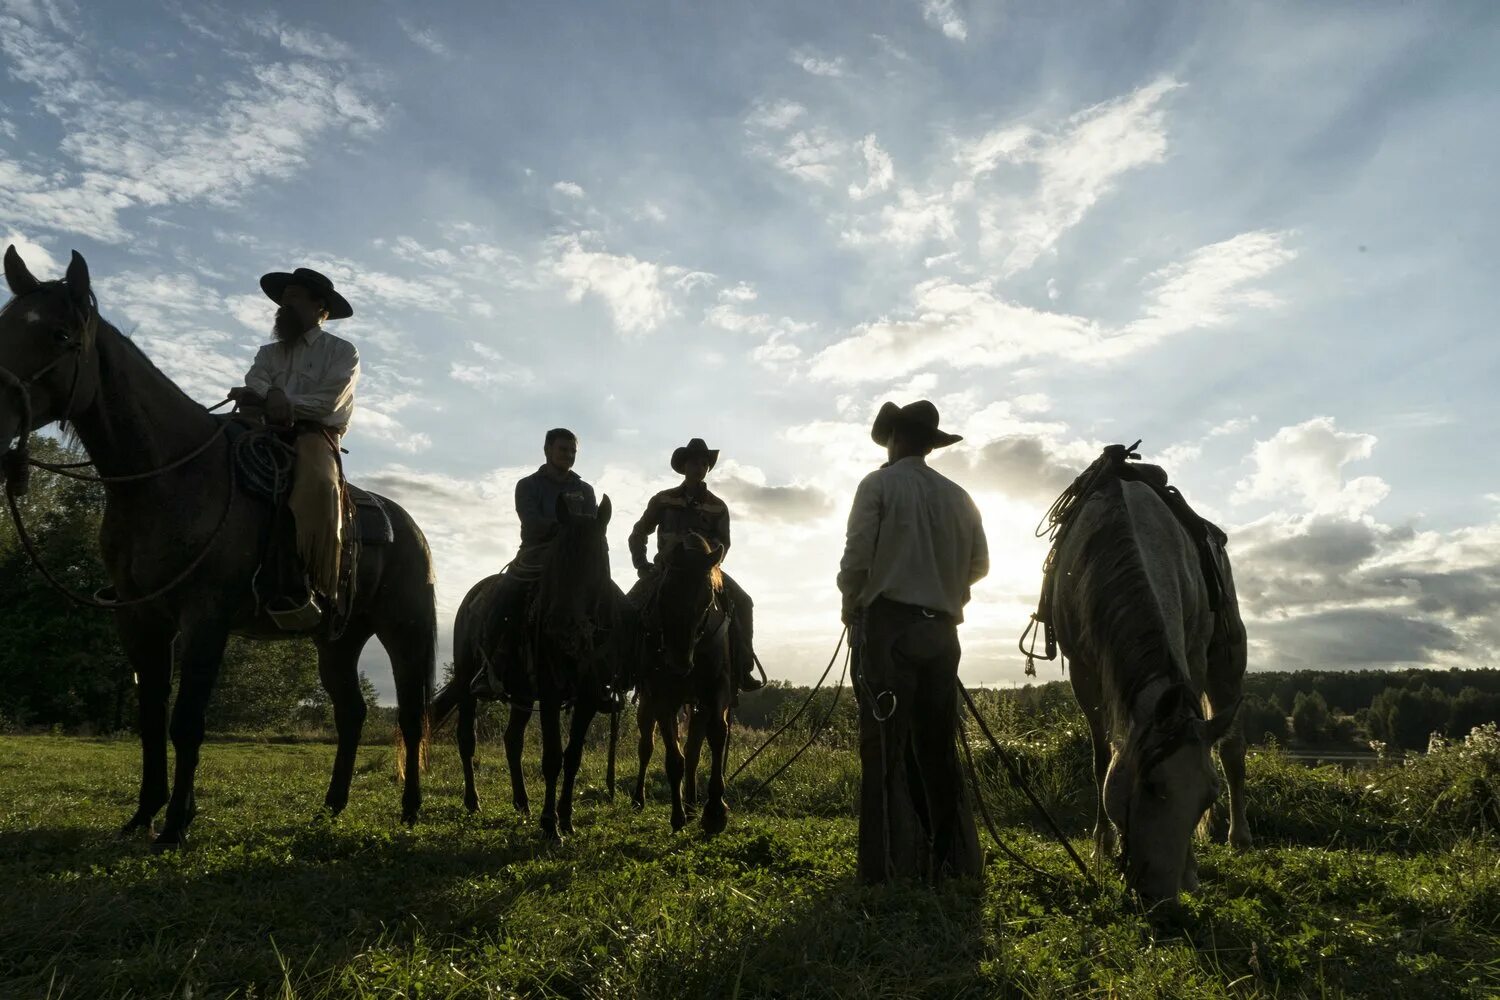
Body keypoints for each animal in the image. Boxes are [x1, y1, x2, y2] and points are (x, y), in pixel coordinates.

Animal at [0, 245, 438, 851]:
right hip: (338, 640)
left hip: (405, 631)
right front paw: (145, 814)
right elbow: (151, 717)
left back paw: (411, 810)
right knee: (350, 713)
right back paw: (330, 808)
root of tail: (409, 528)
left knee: (411, 717)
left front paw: (175, 826)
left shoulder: (204, 616)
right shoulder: (140, 619)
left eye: (61, 335)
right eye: (4, 323)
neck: (166, 479)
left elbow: (187, 720)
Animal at [432, 497, 630, 839]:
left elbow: (573, 757)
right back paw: (473, 802)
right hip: (468, 684)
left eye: (597, 559)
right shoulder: (550, 694)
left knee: (512, 739)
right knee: (466, 738)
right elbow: (552, 758)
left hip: (523, 695)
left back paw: (522, 802)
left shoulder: (589, 698)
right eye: (556, 560)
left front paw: (566, 818)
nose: (565, 628)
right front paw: (550, 824)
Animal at [627, 530, 732, 839]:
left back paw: (694, 804)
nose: (678, 665)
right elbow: (674, 759)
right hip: (648, 705)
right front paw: (678, 816)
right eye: (663, 593)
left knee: (694, 752)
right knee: (646, 746)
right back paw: (639, 799)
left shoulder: (715, 693)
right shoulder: (663, 698)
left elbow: (716, 737)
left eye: (707, 599)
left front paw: (714, 811)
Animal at [1050, 449, 1248, 905]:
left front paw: (1191, 870)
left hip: (1228, 660)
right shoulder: (1084, 672)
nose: (1163, 900)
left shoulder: (1192, 655)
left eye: (1206, 796)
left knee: (1232, 749)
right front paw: (1102, 845)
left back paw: (1239, 836)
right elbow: (1101, 758)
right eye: (1153, 786)